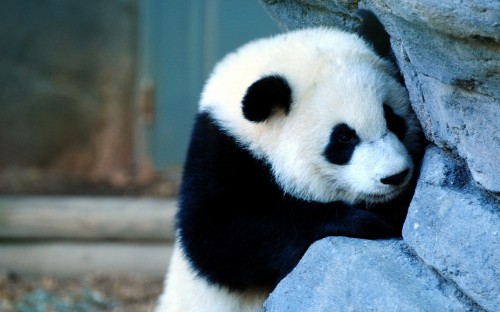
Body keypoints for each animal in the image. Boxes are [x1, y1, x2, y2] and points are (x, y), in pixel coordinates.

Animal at [155, 9, 422, 312]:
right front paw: (365, 222)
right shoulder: (220, 151)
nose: (395, 176)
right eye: (343, 138)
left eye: (392, 118)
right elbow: (217, 237)